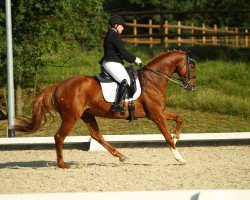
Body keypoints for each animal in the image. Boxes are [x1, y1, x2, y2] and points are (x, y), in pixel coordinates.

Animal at [14, 49, 196, 167]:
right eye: (192, 67)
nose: (192, 86)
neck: (152, 80)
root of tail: (58, 85)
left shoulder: (159, 112)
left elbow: (179, 118)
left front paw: (177, 137)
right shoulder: (156, 115)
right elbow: (167, 137)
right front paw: (180, 158)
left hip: (87, 115)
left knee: (96, 136)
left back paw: (121, 156)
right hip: (71, 117)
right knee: (59, 137)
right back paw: (62, 164)